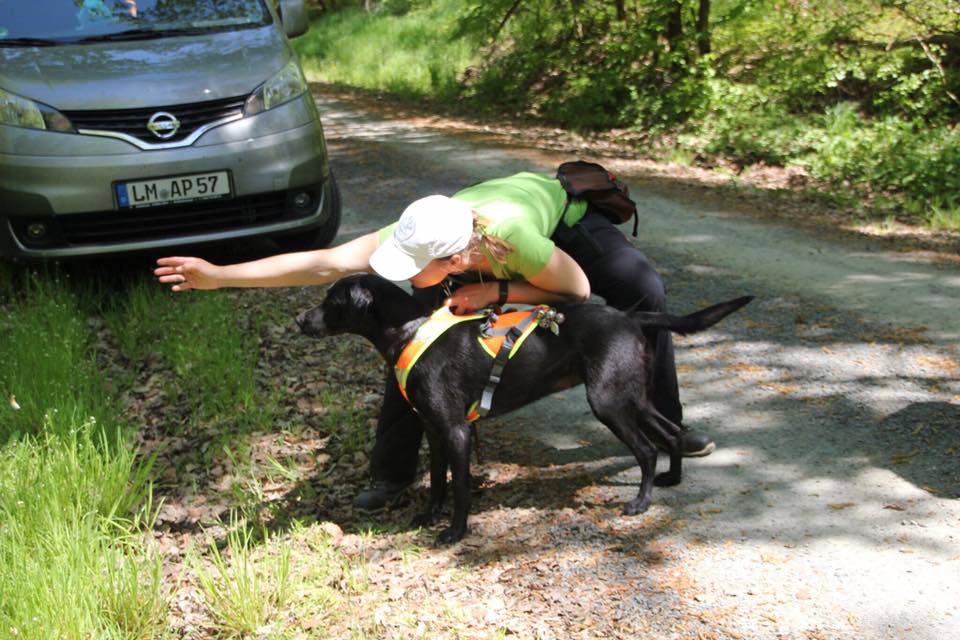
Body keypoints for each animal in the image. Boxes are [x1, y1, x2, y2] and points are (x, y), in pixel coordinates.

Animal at [296, 272, 752, 544]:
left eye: (332, 301)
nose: (300, 319)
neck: (411, 330)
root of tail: (630, 317)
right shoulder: (434, 430)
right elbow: (439, 482)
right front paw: (428, 517)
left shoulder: (456, 431)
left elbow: (460, 488)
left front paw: (455, 533)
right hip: (632, 396)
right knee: (671, 431)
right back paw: (672, 478)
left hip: (609, 401)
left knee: (646, 449)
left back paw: (641, 503)